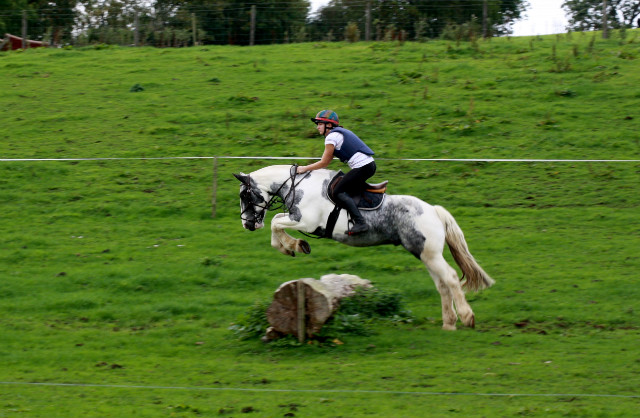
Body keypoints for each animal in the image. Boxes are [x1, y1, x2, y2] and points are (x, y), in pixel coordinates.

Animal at [234, 164, 496, 330]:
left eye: (245, 196)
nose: (247, 224)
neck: (297, 187)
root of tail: (433, 210)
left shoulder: (306, 221)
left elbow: (275, 223)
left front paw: (294, 245)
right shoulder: (298, 219)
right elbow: (276, 223)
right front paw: (293, 246)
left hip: (429, 254)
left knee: (450, 278)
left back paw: (467, 317)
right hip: (424, 254)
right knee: (442, 285)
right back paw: (448, 323)